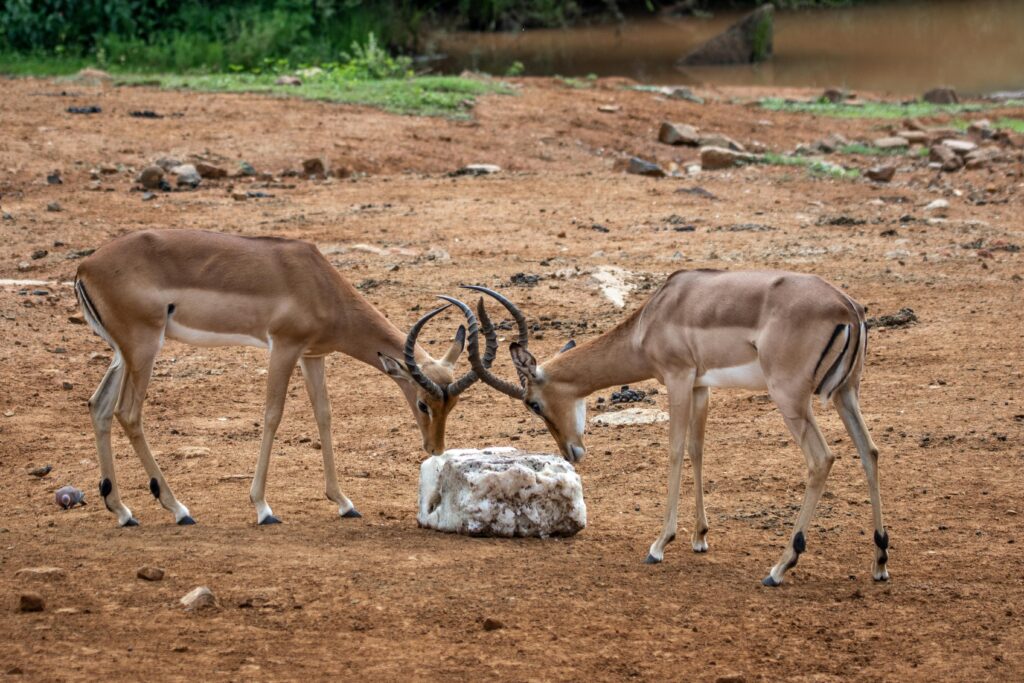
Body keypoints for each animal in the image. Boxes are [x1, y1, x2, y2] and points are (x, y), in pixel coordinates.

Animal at [74, 229, 495, 527]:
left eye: (453, 404)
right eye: (423, 403)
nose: (435, 449)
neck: (319, 283)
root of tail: (86, 267)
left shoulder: (313, 356)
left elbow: (324, 415)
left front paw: (344, 503)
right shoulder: (284, 347)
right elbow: (273, 415)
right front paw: (263, 508)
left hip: (123, 353)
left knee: (99, 406)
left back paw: (122, 511)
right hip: (144, 347)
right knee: (128, 413)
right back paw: (178, 509)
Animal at [441, 271, 889, 587]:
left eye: (533, 403)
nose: (572, 451)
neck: (654, 317)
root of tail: (848, 307)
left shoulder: (677, 378)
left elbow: (673, 451)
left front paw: (659, 545)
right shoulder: (701, 386)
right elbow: (696, 449)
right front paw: (700, 537)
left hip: (791, 399)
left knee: (822, 459)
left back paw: (779, 568)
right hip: (847, 393)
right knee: (870, 451)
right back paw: (880, 561)